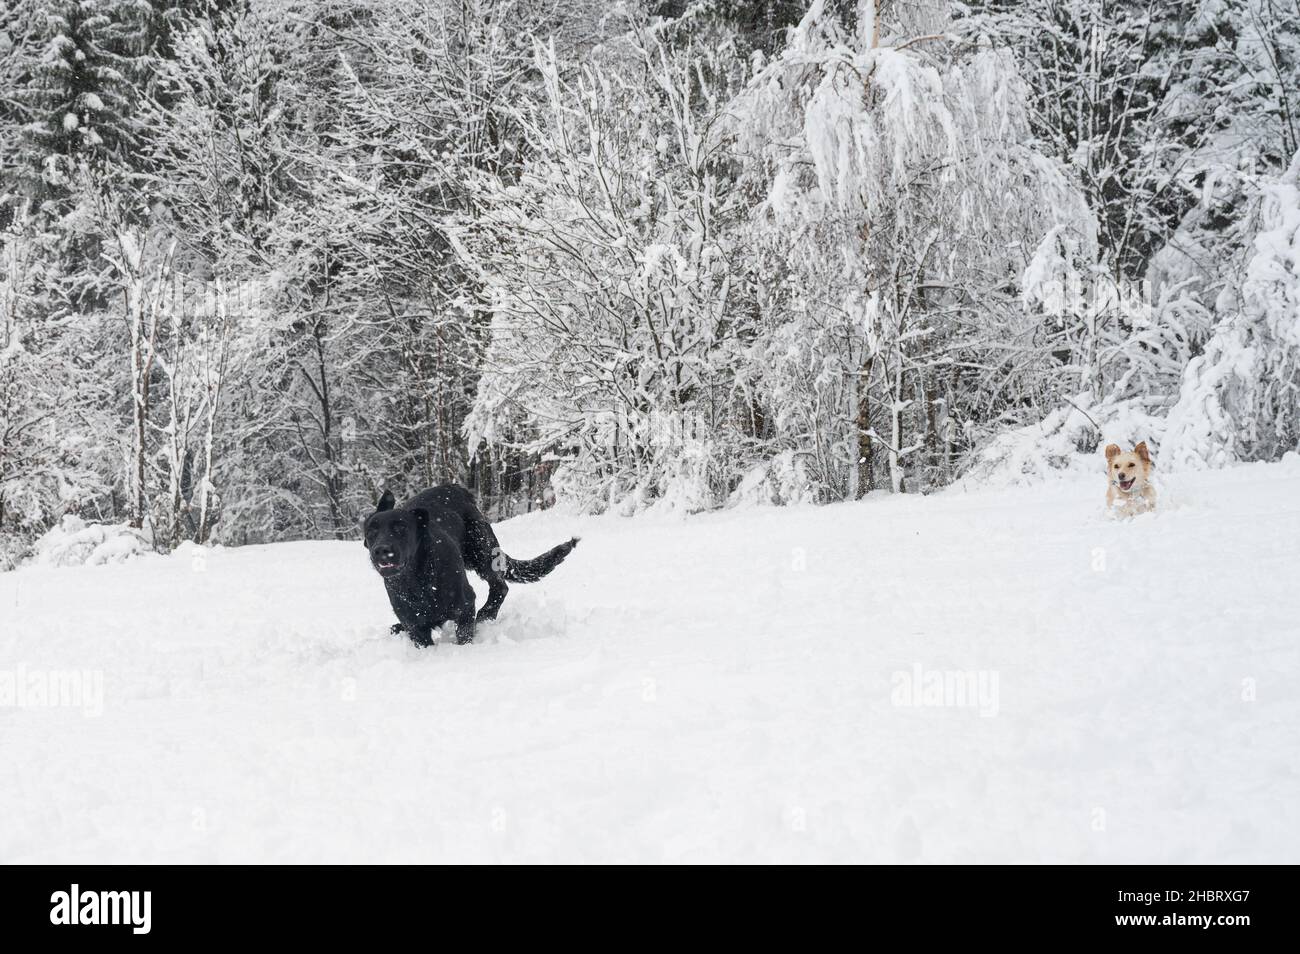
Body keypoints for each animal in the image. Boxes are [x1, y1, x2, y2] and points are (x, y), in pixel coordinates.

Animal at [358, 486, 577, 649]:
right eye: (371, 531)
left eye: (400, 528)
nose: (381, 550)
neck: (416, 580)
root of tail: (456, 488)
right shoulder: (415, 627)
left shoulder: (464, 606)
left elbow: (464, 636)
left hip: (482, 552)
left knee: (500, 586)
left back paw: (486, 615)